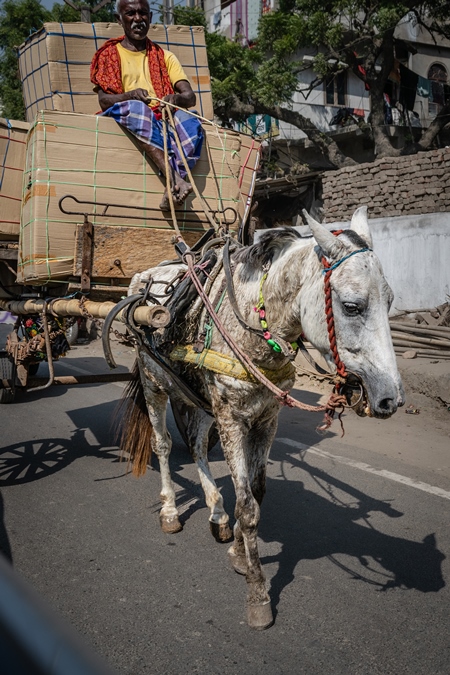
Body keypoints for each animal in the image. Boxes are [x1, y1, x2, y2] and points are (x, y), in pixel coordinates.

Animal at [115, 206, 404, 628]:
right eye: (352, 306)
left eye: (391, 302)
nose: (391, 399)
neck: (253, 328)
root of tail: (145, 278)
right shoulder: (233, 421)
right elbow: (248, 506)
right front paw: (257, 592)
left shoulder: (266, 419)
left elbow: (255, 491)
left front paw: (237, 549)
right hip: (155, 385)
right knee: (164, 445)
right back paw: (170, 510)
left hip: (199, 399)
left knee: (197, 445)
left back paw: (216, 512)